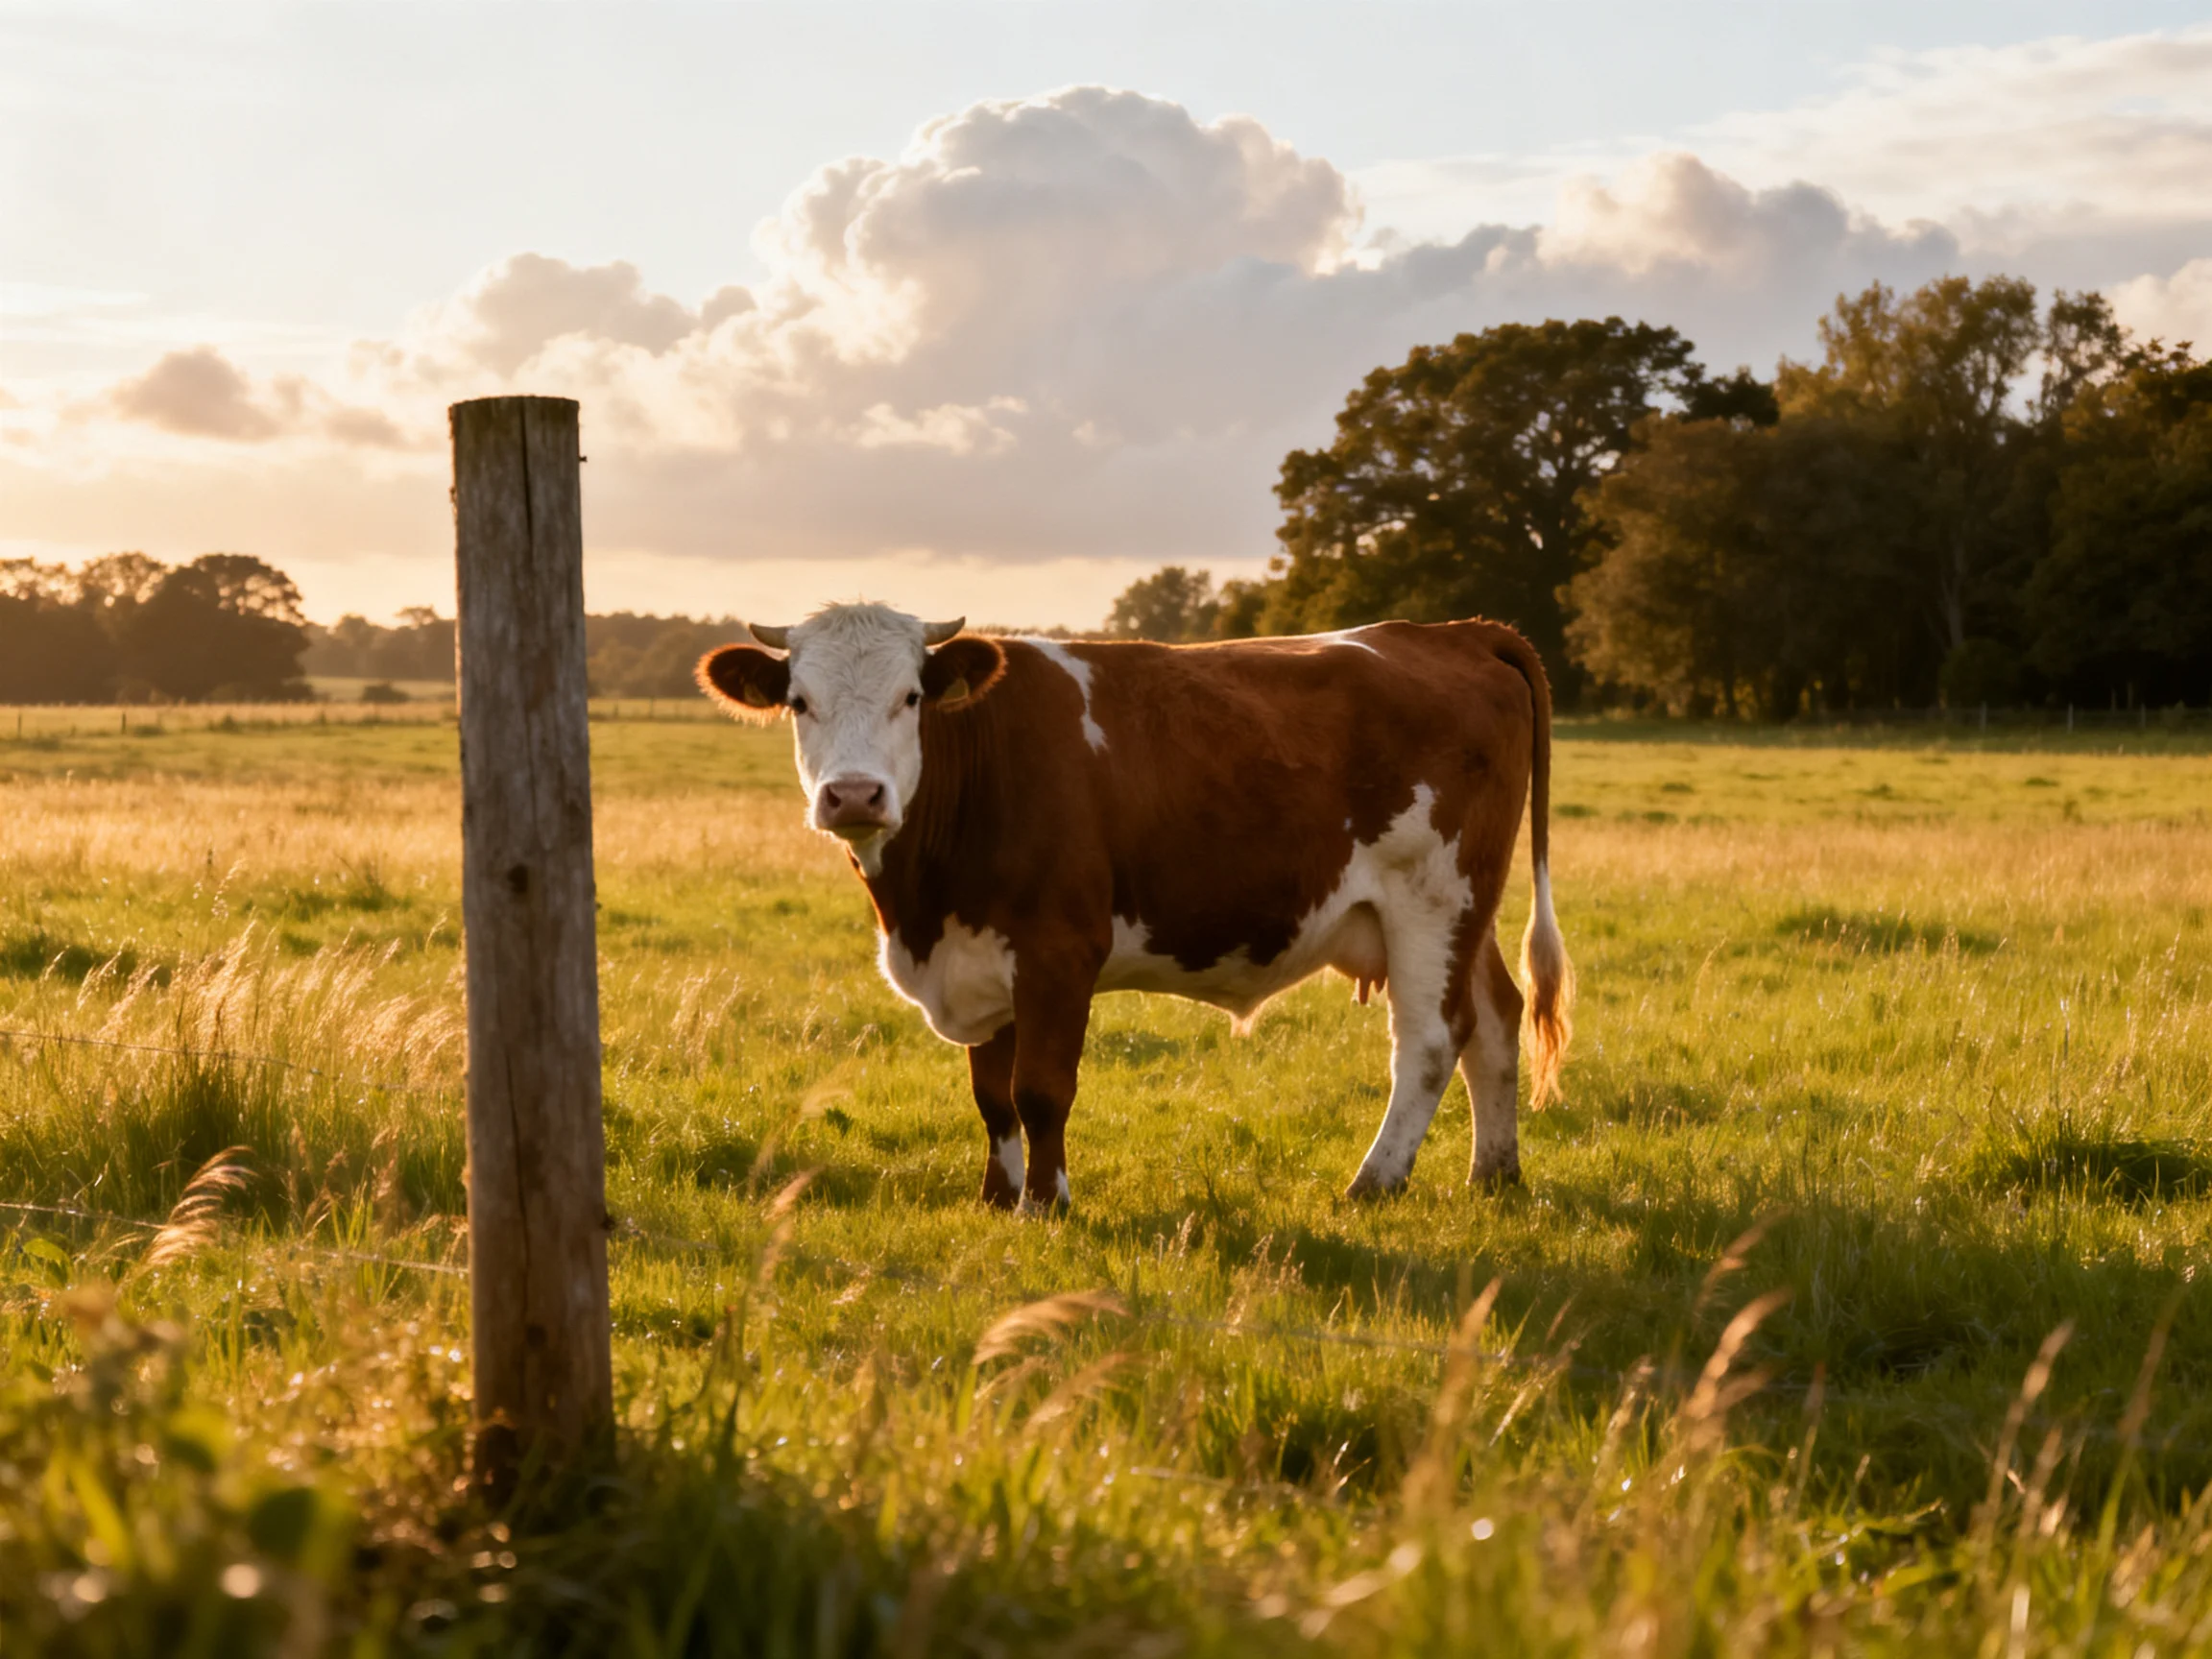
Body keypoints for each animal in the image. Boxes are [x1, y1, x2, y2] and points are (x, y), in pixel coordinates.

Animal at [697, 603, 1572, 1213]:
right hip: (1466, 909)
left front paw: (1045, 1205)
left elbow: (1040, 1087)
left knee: (1431, 1038)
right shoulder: (979, 955)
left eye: (910, 697)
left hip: (1431, 896)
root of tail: (1453, 633)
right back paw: (1494, 1175)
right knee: (1496, 1019)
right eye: (799, 702)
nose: (853, 795)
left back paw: (1374, 1183)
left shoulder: (1058, 950)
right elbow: (991, 1093)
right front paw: (996, 1198)